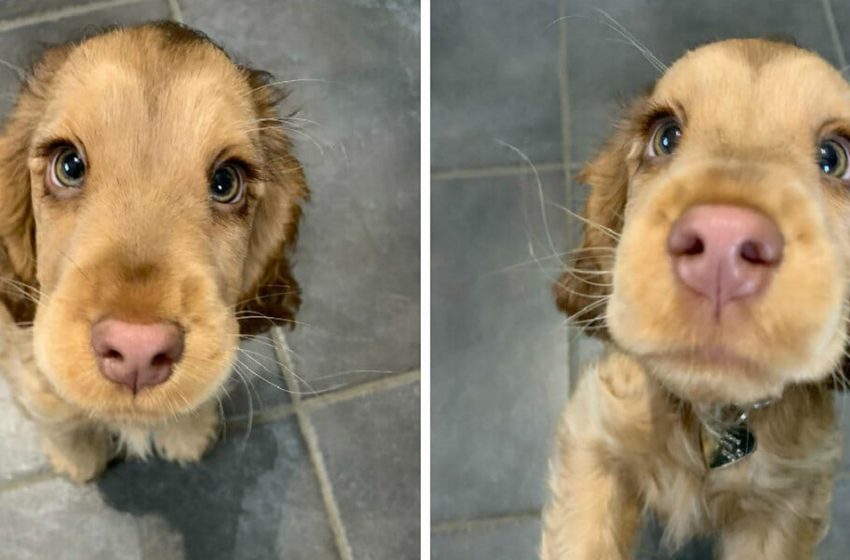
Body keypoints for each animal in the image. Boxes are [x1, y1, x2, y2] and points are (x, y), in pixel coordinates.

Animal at [0, 23, 308, 482]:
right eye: (68, 165)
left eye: (226, 182)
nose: (137, 351)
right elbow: (56, 412)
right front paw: (79, 461)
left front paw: (187, 436)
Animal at [540, 37, 848, 556]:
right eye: (666, 136)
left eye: (834, 158)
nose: (722, 242)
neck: (708, 416)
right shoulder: (594, 433)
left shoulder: (788, 502)